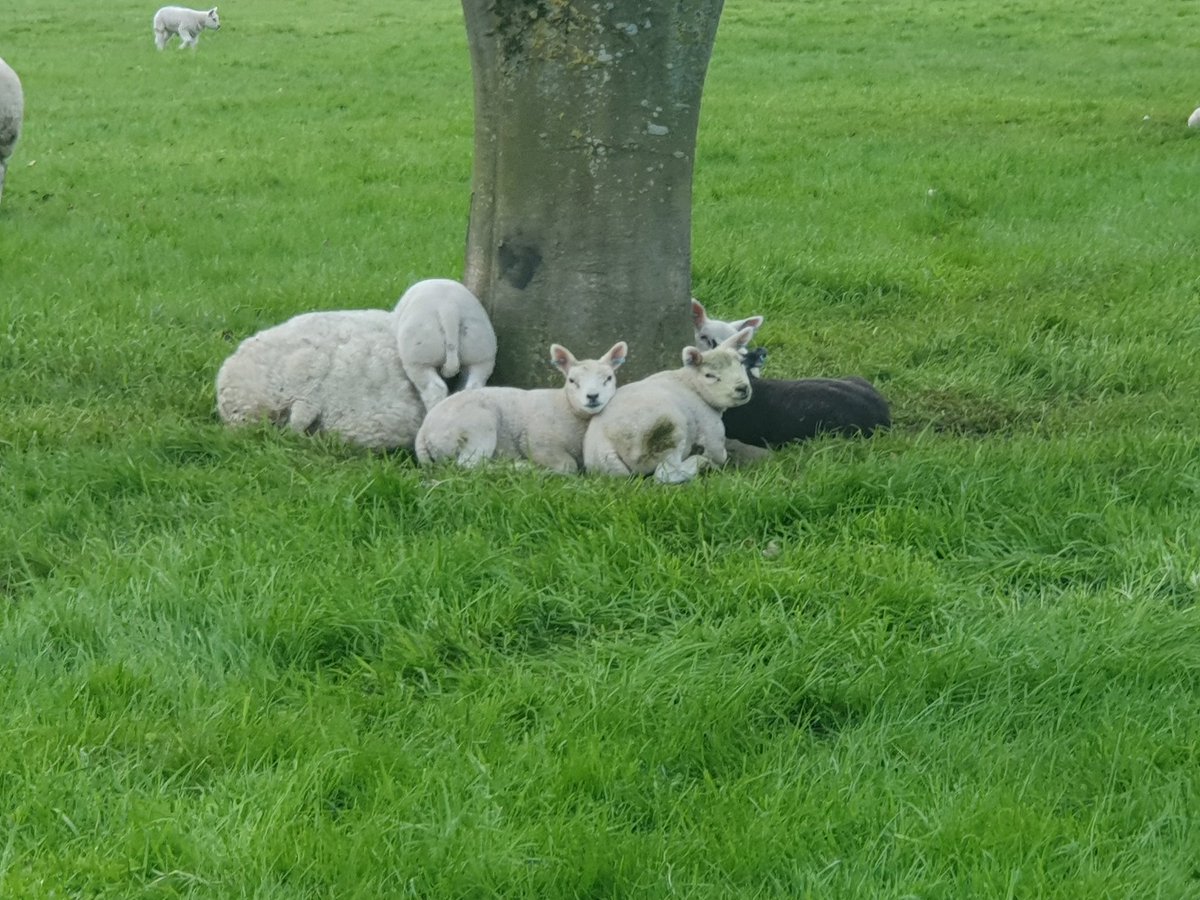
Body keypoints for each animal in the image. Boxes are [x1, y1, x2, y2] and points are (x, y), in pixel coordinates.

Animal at [415, 340, 628, 475]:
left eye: (608, 378)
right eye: (572, 380)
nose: (592, 396)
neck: (566, 407)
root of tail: (423, 432)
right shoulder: (536, 442)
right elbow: (568, 466)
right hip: (477, 425)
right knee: (470, 466)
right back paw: (519, 467)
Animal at [583, 328, 758, 487]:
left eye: (741, 363)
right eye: (710, 375)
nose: (742, 388)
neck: (693, 386)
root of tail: (608, 443)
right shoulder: (711, 429)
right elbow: (719, 454)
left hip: (604, 464)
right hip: (667, 433)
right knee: (664, 474)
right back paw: (699, 462)